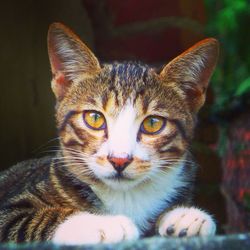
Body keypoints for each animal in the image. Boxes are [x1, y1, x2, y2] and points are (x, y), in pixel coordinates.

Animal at [0, 22, 219, 244]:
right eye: (94, 118)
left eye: (152, 123)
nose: (119, 160)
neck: (126, 196)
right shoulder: (10, 207)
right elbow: (30, 220)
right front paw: (102, 224)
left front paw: (185, 216)